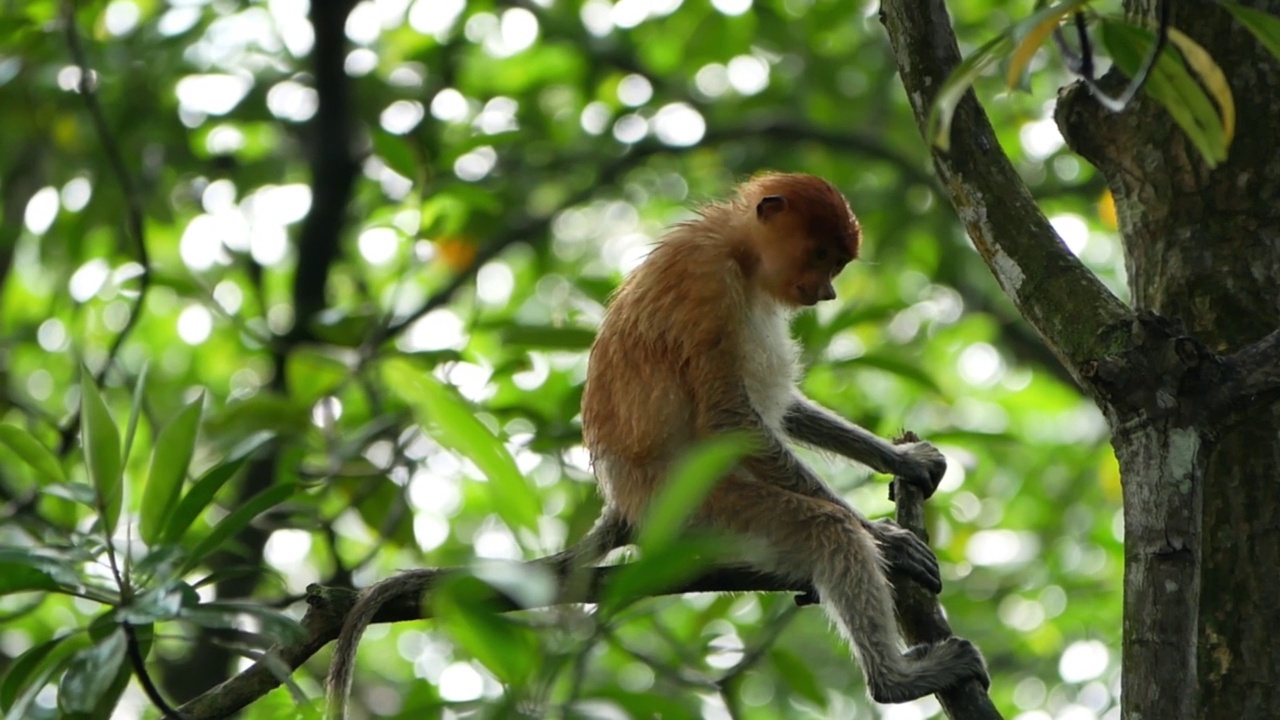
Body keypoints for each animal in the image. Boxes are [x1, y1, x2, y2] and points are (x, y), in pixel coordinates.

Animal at [325, 170, 983, 712]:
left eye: (837, 264)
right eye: (821, 255)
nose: (826, 294)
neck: (738, 249)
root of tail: (626, 505)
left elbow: (780, 409)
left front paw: (905, 460)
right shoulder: (707, 286)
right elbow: (730, 419)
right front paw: (888, 539)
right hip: (702, 511)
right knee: (825, 531)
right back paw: (894, 679)